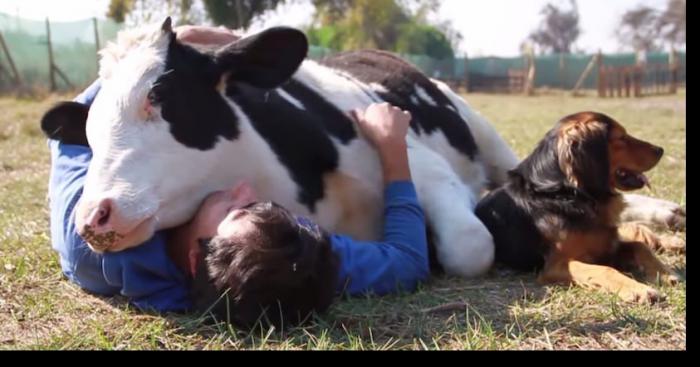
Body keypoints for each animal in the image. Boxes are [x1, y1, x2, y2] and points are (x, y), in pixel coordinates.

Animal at [41, 19, 688, 278]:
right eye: (89, 129)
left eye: (163, 96)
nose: (94, 216)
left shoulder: (423, 164)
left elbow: (471, 242)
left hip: (482, 129)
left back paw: (663, 212)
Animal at [476, 111, 684, 302]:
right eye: (621, 138)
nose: (660, 150)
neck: (566, 194)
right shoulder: (556, 265)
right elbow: (606, 269)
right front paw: (638, 289)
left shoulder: (608, 244)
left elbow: (640, 246)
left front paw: (665, 274)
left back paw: (676, 242)